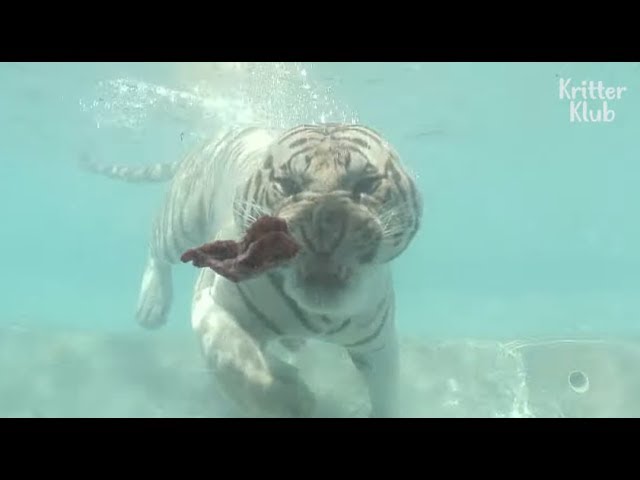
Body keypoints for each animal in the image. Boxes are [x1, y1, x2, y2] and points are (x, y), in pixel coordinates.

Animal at [84, 123, 424, 416]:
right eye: (288, 185)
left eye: (366, 183)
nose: (324, 223)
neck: (319, 316)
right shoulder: (213, 303)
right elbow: (240, 365)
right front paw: (294, 398)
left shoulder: (379, 346)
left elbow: (386, 395)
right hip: (179, 222)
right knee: (157, 250)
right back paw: (150, 308)